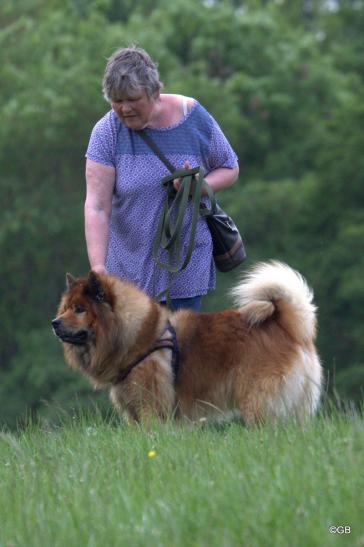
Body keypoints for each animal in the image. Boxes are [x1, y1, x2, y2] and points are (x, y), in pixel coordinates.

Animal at [51, 262, 322, 424]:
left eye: (79, 309)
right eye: (65, 308)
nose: (54, 322)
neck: (136, 336)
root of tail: (287, 327)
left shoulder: (150, 407)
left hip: (258, 402)